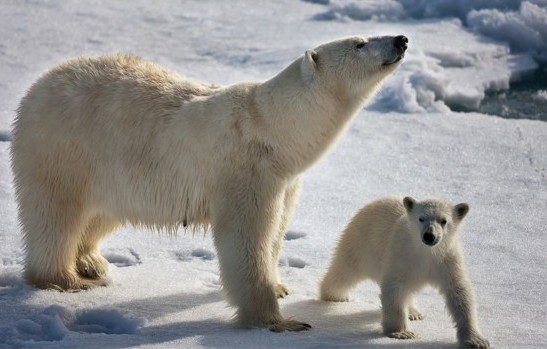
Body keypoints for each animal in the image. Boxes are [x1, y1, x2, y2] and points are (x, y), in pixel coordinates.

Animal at [10, 35, 408, 332]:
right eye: (359, 43)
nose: (401, 39)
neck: (274, 129)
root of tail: (38, 86)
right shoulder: (245, 170)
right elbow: (246, 238)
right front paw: (279, 321)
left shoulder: (285, 180)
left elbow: (277, 231)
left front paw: (280, 286)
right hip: (64, 148)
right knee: (56, 214)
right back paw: (67, 279)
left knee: (101, 212)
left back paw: (92, 261)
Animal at [318, 197, 490, 346]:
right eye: (421, 218)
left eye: (444, 221)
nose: (429, 235)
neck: (425, 252)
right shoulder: (402, 253)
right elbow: (394, 286)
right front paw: (401, 333)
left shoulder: (447, 259)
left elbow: (458, 291)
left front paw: (476, 340)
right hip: (360, 243)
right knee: (343, 273)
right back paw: (335, 296)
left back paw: (414, 312)